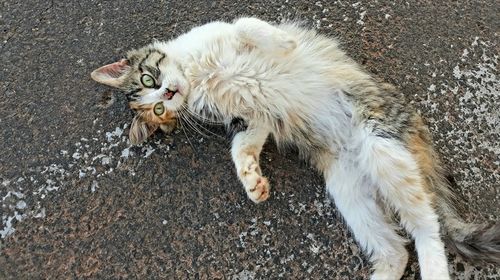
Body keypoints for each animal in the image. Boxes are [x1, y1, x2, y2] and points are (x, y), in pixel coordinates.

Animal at [91, 17, 500, 280]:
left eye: (150, 79)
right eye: (157, 110)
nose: (167, 94)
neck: (197, 76)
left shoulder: (223, 33)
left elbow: (247, 25)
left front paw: (285, 43)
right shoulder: (250, 119)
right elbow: (242, 148)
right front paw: (253, 182)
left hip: (381, 145)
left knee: (428, 227)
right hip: (349, 192)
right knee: (396, 249)